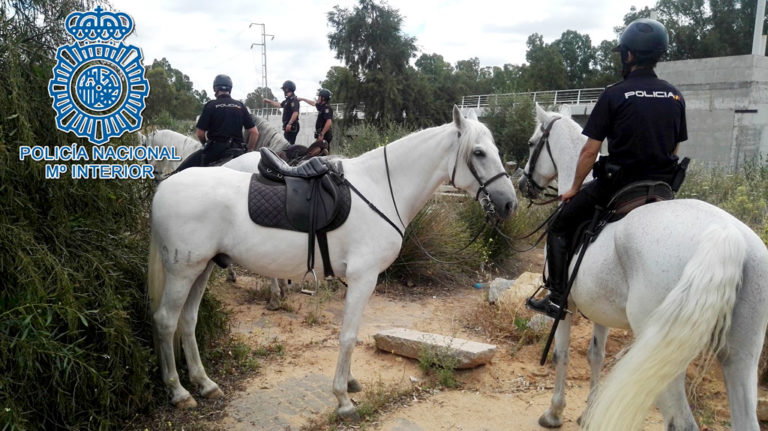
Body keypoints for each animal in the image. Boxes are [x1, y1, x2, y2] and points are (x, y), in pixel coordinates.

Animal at [147, 106, 520, 416]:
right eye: (479, 152)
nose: (509, 203)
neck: (380, 188)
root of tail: (164, 187)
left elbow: (350, 334)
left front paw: (349, 384)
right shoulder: (363, 279)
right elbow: (349, 336)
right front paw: (343, 398)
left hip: (203, 268)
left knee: (188, 320)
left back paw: (205, 384)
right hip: (183, 272)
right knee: (165, 321)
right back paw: (179, 392)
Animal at [520, 105, 768, 431]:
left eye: (532, 143)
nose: (523, 184)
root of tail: (726, 235)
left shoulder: (566, 306)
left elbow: (561, 354)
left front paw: (554, 412)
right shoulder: (599, 309)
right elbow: (595, 354)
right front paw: (589, 413)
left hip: (664, 350)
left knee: (681, 422)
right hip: (741, 355)